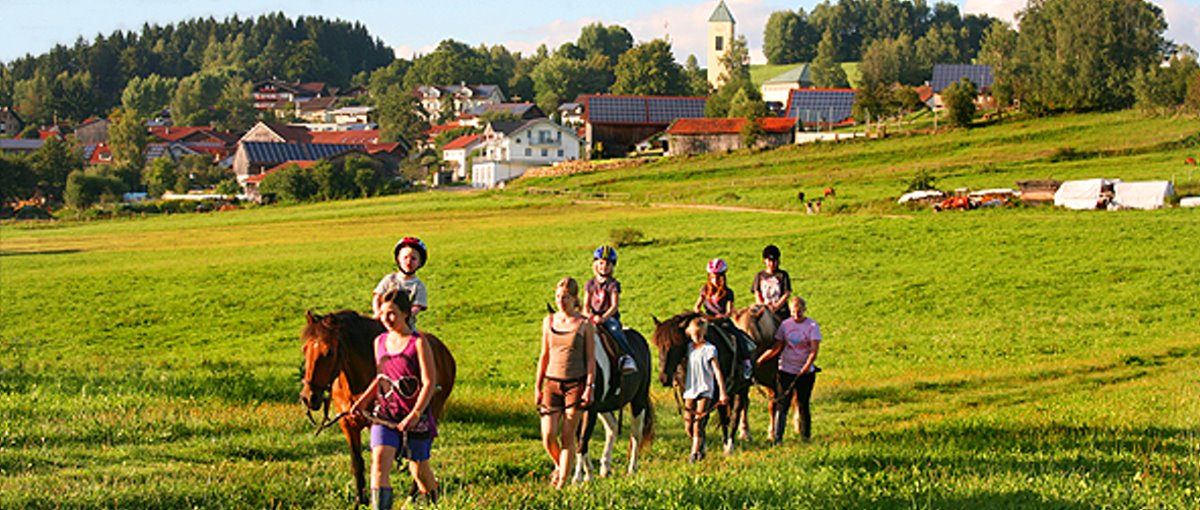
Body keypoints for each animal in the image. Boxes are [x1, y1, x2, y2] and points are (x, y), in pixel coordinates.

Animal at [298, 309, 453, 504]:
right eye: (305, 350)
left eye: (329, 352)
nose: (308, 397)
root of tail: (445, 352)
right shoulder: (347, 424)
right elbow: (357, 463)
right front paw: (360, 501)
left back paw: (414, 496)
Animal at [571, 326, 657, 480]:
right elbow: (580, 439)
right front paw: (588, 475)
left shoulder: (590, 409)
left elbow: (582, 439)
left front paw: (578, 478)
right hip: (604, 407)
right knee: (612, 427)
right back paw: (606, 468)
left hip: (639, 400)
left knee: (636, 433)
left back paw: (632, 469)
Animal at [652, 309, 753, 453]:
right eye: (659, 345)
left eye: (675, 345)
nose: (664, 378)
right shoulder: (686, 392)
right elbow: (692, 420)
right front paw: (700, 445)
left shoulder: (713, 394)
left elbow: (702, 419)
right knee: (724, 417)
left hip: (741, 390)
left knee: (735, 416)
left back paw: (729, 446)